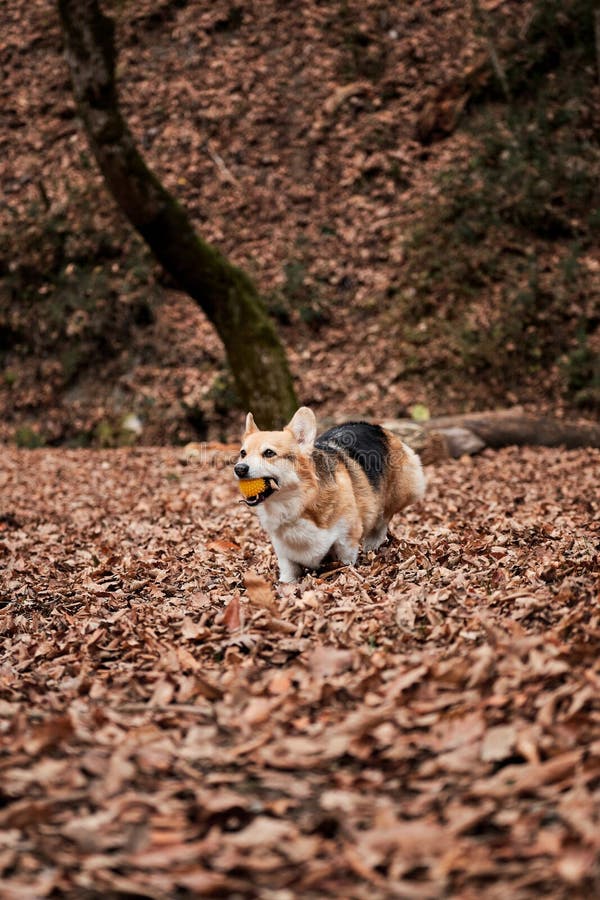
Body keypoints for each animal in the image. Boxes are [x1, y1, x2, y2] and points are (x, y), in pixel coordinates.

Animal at [232, 408, 424, 584]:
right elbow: (288, 576)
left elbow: (346, 563)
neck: (298, 504)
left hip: (397, 496)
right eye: (243, 453)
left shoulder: (346, 542)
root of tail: (376, 427)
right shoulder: (284, 552)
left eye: (269, 453)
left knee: (383, 518)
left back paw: (373, 543)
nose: (239, 469)